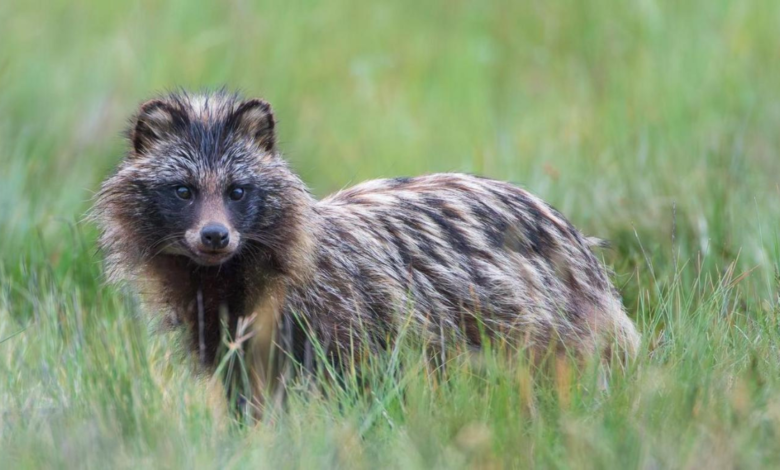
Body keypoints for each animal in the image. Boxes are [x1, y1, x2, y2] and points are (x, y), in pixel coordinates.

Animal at [94, 91, 640, 413]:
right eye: (183, 190)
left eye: (237, 191)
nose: (214, 236)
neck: (225, 280)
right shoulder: (222, 336)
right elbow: (246, 397)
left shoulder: (348, 319)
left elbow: (355, 391)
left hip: (542, 324)